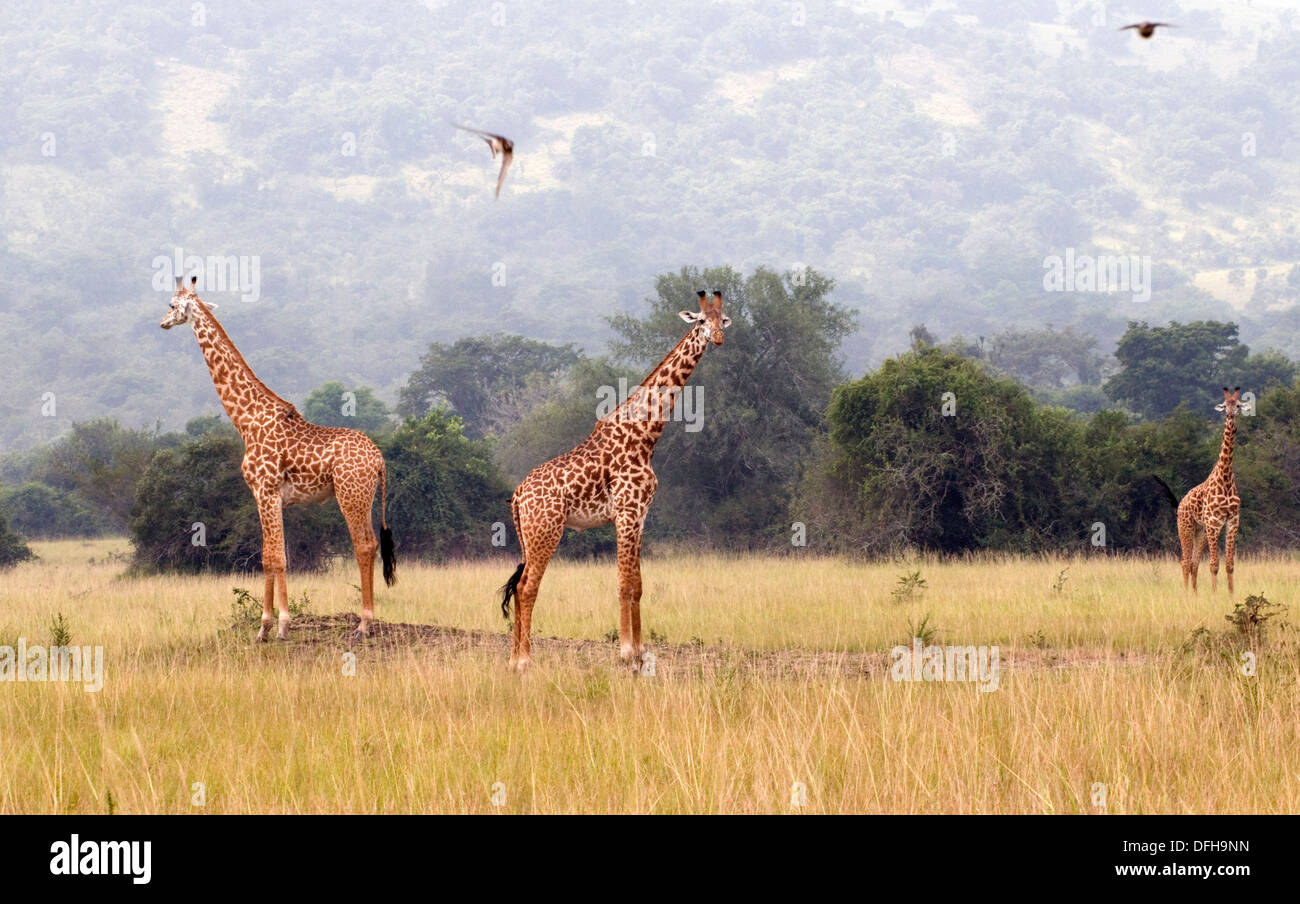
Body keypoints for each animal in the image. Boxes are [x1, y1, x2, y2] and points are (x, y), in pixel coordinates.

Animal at [160, 275, 396, 641]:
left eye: (172, 304)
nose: (162, 322)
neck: (246, 419)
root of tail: (379, 460)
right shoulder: (263, 495)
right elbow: (267, 555)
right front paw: (264, 629)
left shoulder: (267, 490)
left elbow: (276, 557)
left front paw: (282, 626)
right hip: (364, 495)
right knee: (368, 545)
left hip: (351, 494)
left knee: (365, 545)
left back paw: (364, 624)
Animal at [499, 290, 730, 671]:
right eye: (700, 321)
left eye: (722, 320)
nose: (719, 338)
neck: (645, 435)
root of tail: (518, 495)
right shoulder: (625, 512)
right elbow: (623, 583)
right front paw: (623, 653)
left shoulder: (641, 515)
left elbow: (638, 584)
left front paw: (639, 654)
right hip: (547, 530)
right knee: (528, 586)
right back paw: (525, 661)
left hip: (527, 536)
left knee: (518, 586)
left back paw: (513, 661)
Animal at [1161, 387, 1248, 595]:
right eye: (1224, 405)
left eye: (1238, 405)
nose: (1230, 415)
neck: (1225, 478)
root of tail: (1181, 503)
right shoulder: (1214, 523)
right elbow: (1214, 564)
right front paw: (1215, 594)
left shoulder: (1233, 521)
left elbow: (1229, 564)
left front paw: (1231, 595)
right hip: (1185, 527)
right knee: (1185, 562)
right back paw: (1186, 594)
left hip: (1200, 531)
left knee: (1194, 563)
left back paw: (1194, 594)